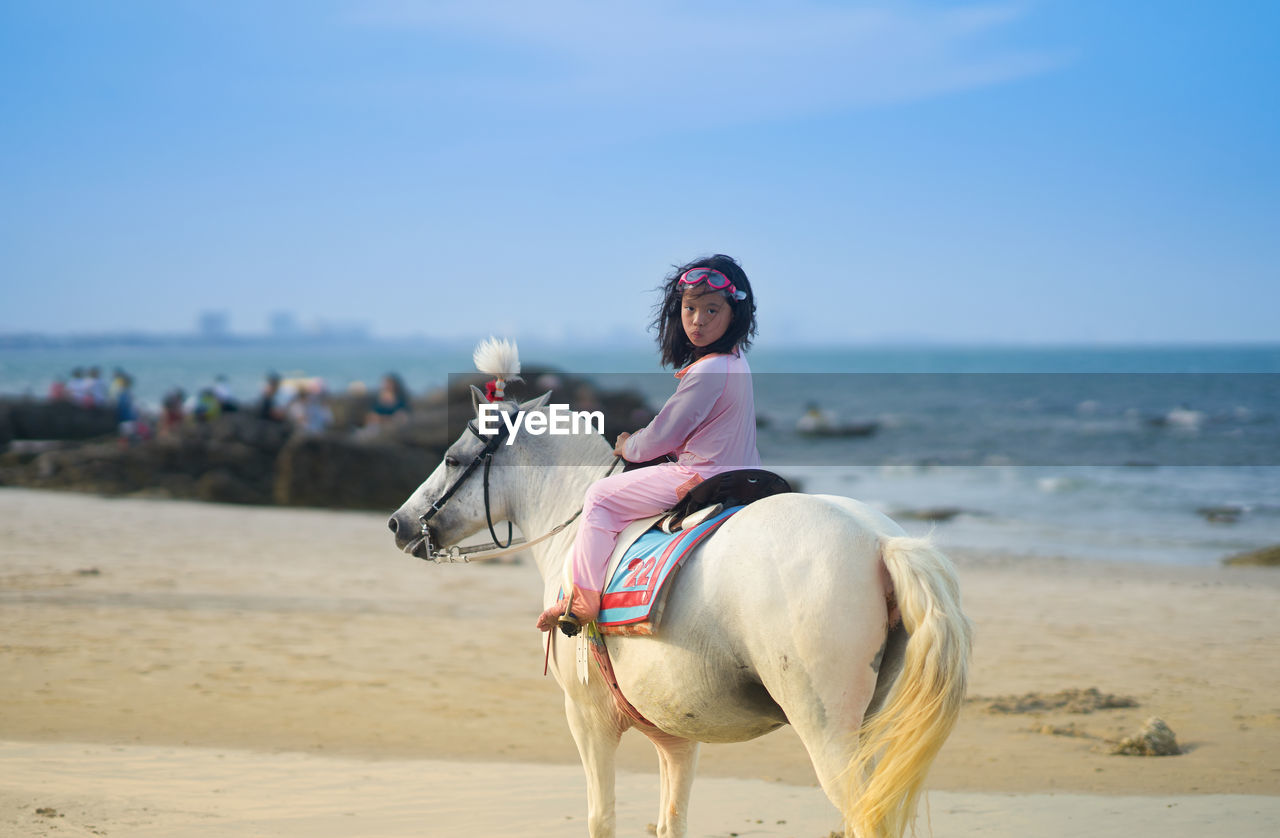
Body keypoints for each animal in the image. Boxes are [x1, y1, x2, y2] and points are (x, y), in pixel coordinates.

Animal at [386, 388, 967, 834]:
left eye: (452, 458)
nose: (397, 522)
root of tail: (879, 541)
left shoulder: (588, 720)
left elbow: (602, 818)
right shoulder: (677, 738)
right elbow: (671, 822)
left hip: (828, 733)